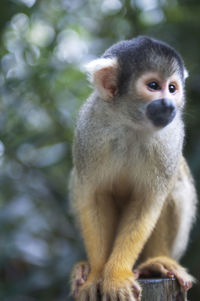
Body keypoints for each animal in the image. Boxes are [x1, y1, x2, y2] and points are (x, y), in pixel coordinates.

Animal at [69, 37, 198, 300]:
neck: (132, 125)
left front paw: (116, 275)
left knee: (175, 182)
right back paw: (84, 269)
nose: (169, 104)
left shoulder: (171, 137)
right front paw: (96, 275)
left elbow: (147, 202)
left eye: (172, 88)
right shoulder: (90, 129)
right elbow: (94, 196)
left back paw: (156, 262)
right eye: (153, 85)